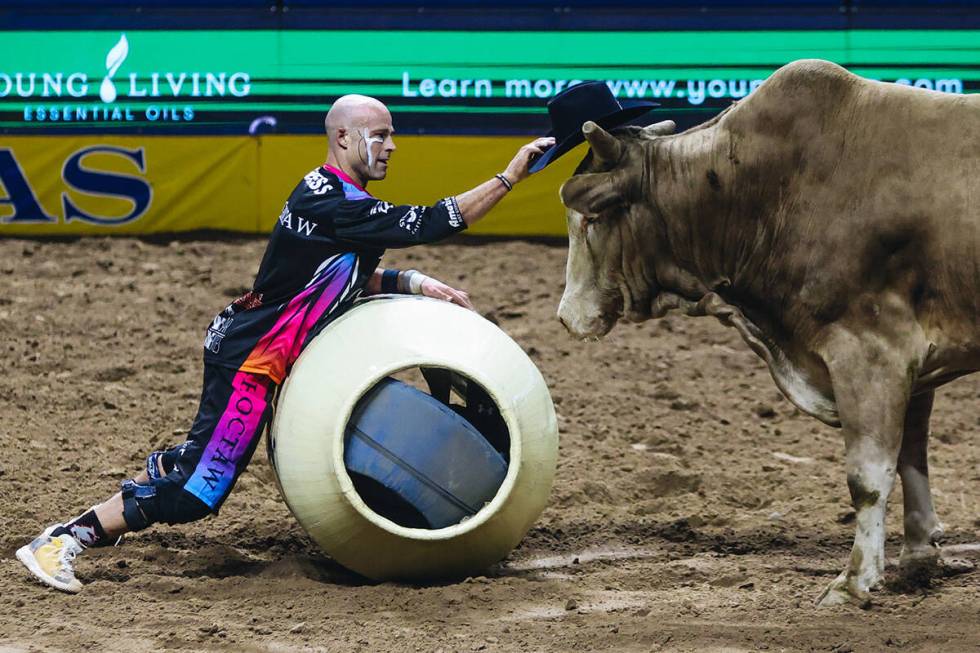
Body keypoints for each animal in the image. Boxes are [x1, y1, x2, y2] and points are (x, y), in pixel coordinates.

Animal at [556, 59, 976, 608]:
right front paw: (919, 556)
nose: (566, 315)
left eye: (589, 219)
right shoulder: (911, 365)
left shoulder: (870, 351)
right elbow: (910, 458)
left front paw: (853, 582)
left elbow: (868, 475)